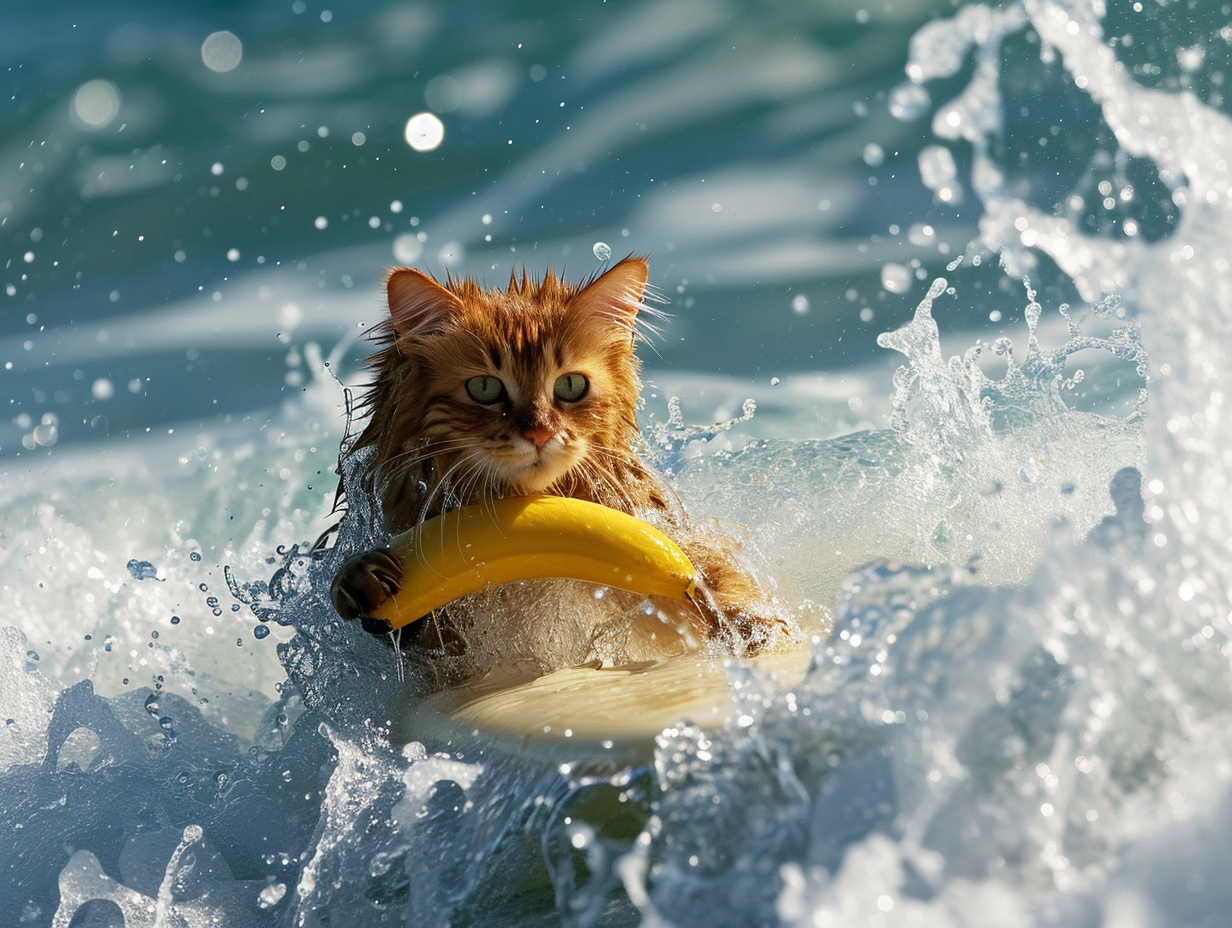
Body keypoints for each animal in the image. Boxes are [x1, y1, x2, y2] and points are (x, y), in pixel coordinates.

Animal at [330, 257, 788, 675]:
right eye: (484, 388)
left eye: (570, 385)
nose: (539, 432)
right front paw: (363, 580)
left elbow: (723, 585)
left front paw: (752, 629)